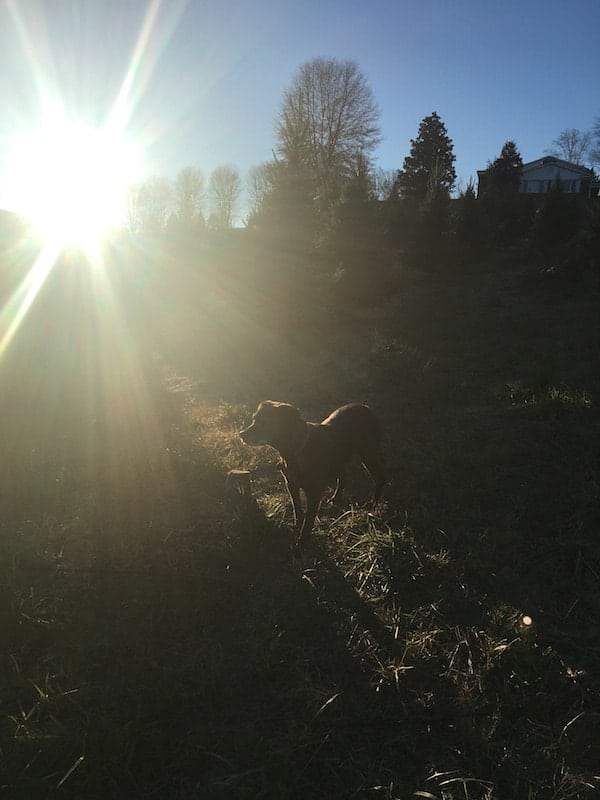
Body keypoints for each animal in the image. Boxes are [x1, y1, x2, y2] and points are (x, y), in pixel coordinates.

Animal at [239, 400, 384, 544]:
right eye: (254, 419)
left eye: (265, 422)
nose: (241, 434)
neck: (296, 451)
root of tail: (366, 407)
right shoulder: (291, 484)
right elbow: (297, 509)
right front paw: (297, 526)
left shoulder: (314, 493)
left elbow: (309, 519)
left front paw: (302, 540)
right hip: (340, 459)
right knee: (344, 475)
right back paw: (336, 497)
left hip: (368, 454)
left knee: (380, 478)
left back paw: (373, 502)